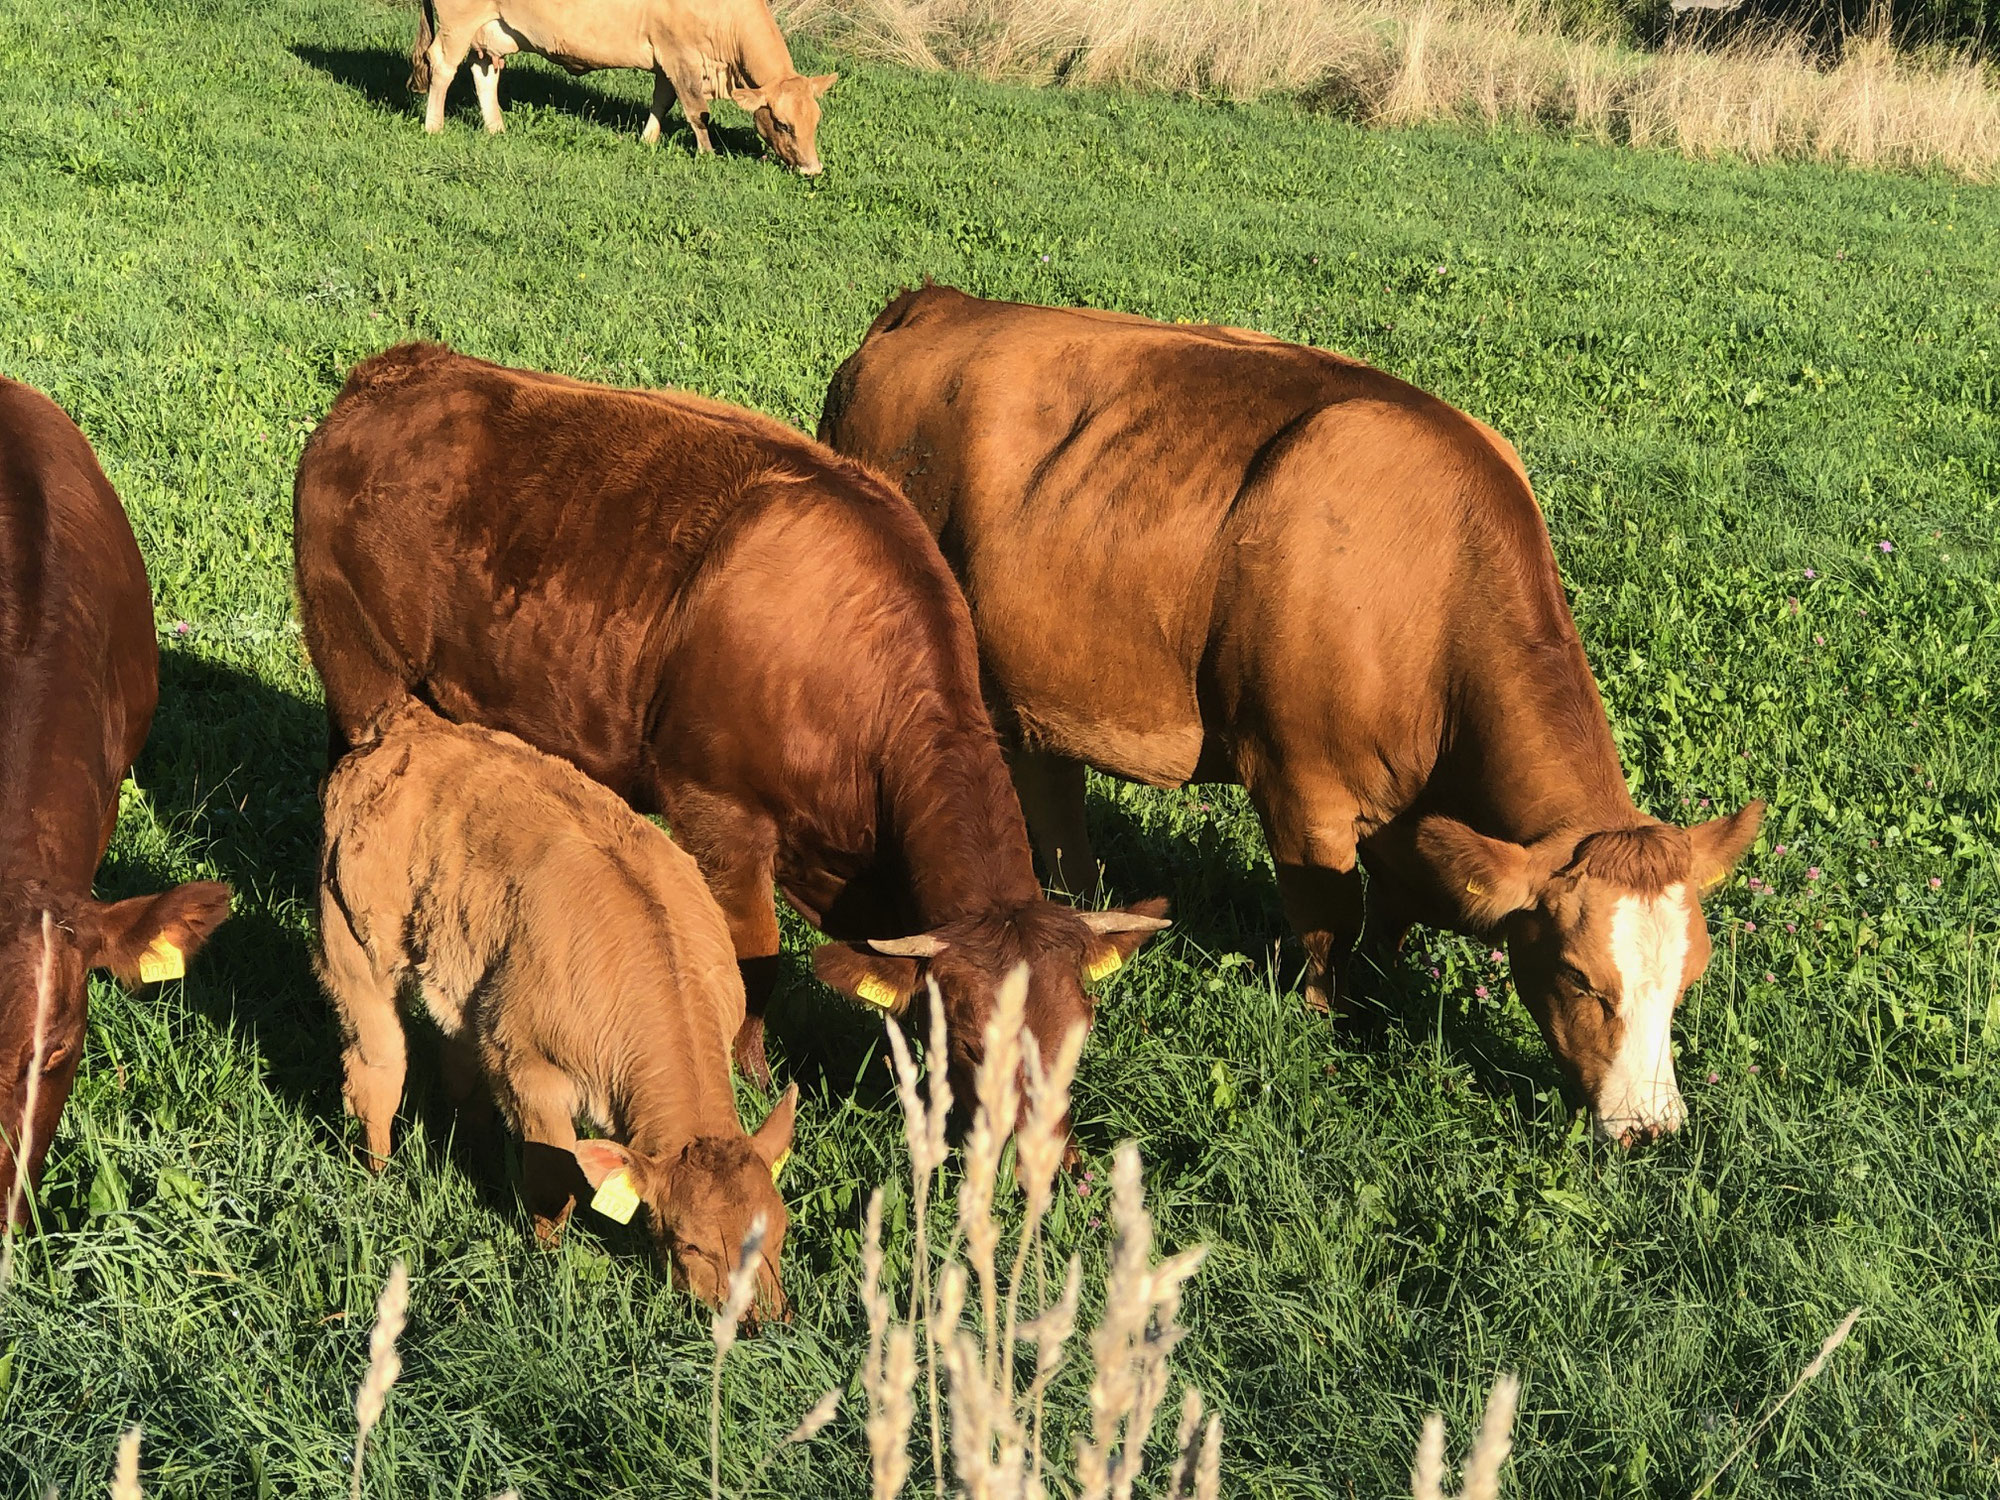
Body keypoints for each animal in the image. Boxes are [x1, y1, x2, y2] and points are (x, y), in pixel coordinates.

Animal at [296, 340, 1168, 1120]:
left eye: (1078, 1041)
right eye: (975, 1044)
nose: (1040, 1173)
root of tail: (395, 371)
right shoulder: (719, 811)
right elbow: (756, 959)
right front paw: (749, 1074)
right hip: (361, 673)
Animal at [316, 700, 792, 1312]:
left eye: (780, 1229)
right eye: (691, 1246)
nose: (759, 1322)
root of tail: (410, 724)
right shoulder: (529, 1070)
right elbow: (552, 1178)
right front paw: (544, 1264)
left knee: (458, 1061)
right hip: (351, 943)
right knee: (377, 1067)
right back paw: (379, 1174)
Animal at [408, 0, 836, 171]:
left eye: (816, 121)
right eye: (782, 123)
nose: (813, 169)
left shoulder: (666, 58)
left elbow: (662, 101)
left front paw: (648, 139)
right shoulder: (680, 55)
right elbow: (697, 111)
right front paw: (709, 154)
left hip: (491, 29)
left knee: (484, 72)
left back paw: (496, 127)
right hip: (459, 21)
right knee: (443, 66)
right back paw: (434, 126)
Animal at [820, 284, 1760, 1152]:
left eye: (1690, 980)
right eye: (1578, 978)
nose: (1650, 1127)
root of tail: (935, 302)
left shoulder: (1409, 816)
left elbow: (1393, 913)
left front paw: (1382, 997)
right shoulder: (1299, 790)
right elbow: (1328, 921)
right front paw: (1326, 1022)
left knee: (1048, 783)